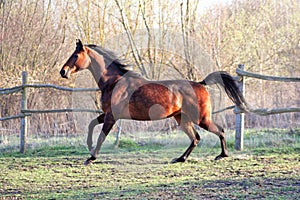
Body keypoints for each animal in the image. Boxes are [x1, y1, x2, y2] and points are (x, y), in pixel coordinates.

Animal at [59, 39, 247, 166]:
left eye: (75, 55)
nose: (63, 72)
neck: (114, 82)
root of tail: (200, 84)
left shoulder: (111, 116)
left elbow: (101, 136)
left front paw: (91, 157)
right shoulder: (107, 114)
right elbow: (91, 124)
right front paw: (89, 148)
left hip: (201, 118)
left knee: (219, 131)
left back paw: (222, 155)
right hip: (182, 118)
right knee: (196, 138)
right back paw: (180, 159)